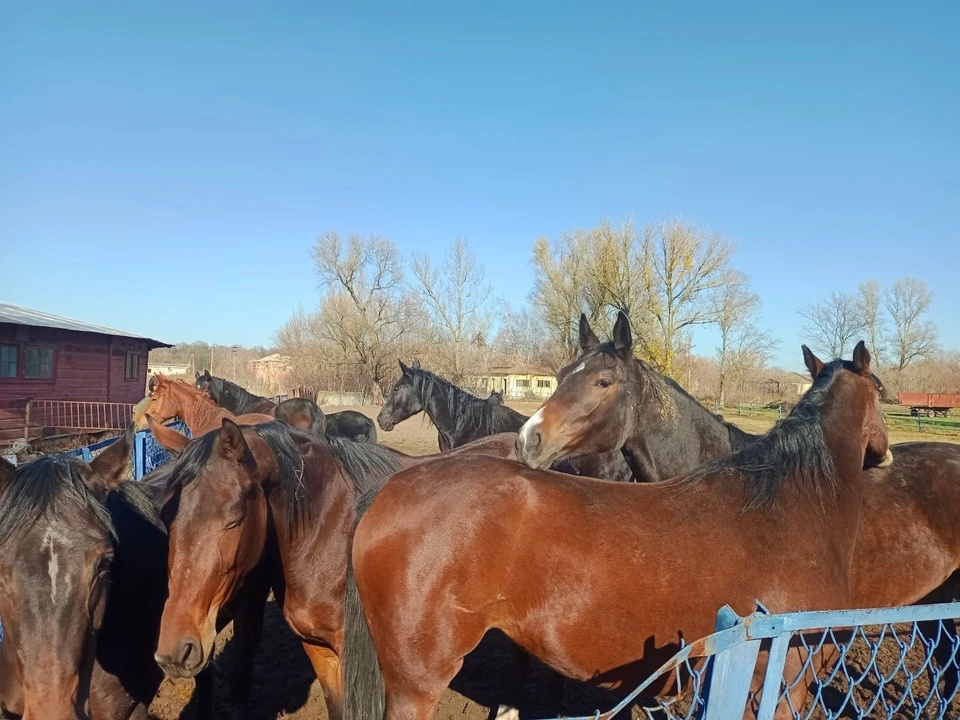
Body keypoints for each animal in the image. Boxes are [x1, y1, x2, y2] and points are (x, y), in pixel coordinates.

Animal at [344, 332, 892, 716]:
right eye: (883, 391)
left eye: (603, 381)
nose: (884, 457)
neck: (786, 505)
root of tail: (390, 489)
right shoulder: (783, 685)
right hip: (417, 686)